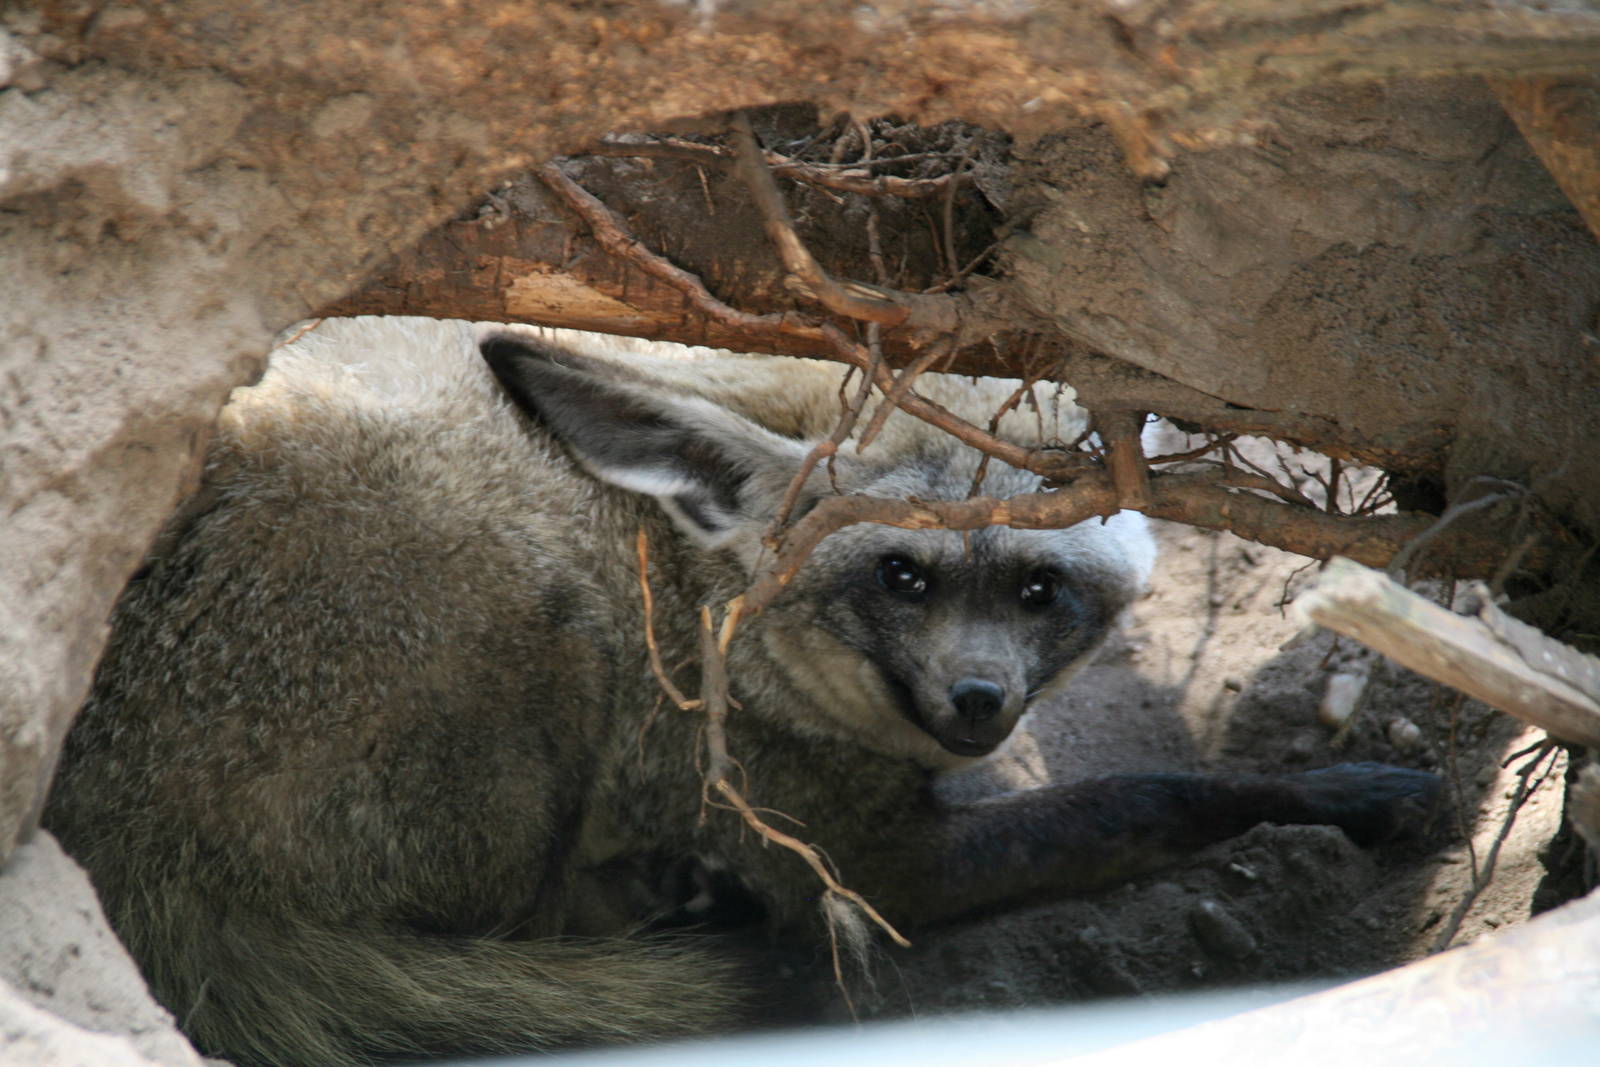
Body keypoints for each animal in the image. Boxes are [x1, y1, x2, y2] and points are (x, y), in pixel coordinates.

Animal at [43, 316, 1438, 1067]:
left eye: (1039, 589)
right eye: (899, 576)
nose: (979, 701)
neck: (689, 577)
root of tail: (108, 833)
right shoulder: (870, 865)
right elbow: (1156, 791)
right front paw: (1340, 788)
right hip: (533, 624)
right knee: (508, 945)